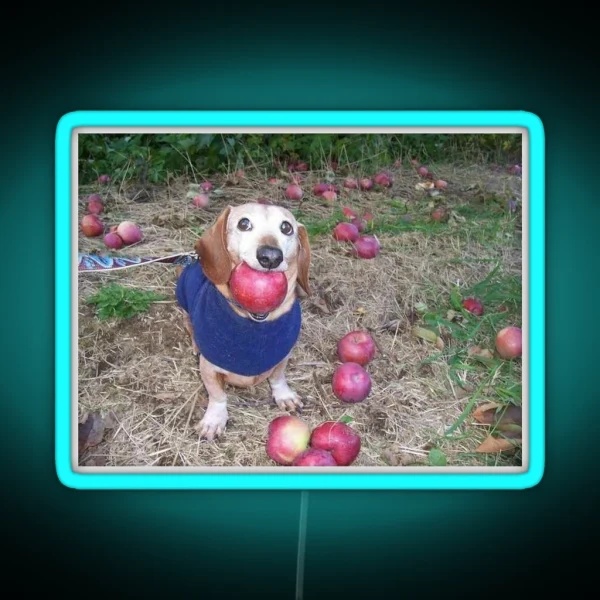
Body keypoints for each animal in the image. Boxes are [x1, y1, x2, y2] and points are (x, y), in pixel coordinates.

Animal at [175, 203, 312, 440]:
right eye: (244, 223)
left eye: (286, 227)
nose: (270, 257)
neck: (254, 325)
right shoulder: (209, 368)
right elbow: (217, 395)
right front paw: (214, 419)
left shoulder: (282, 356)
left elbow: (278, 377)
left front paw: (284, 395)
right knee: (190, 327)